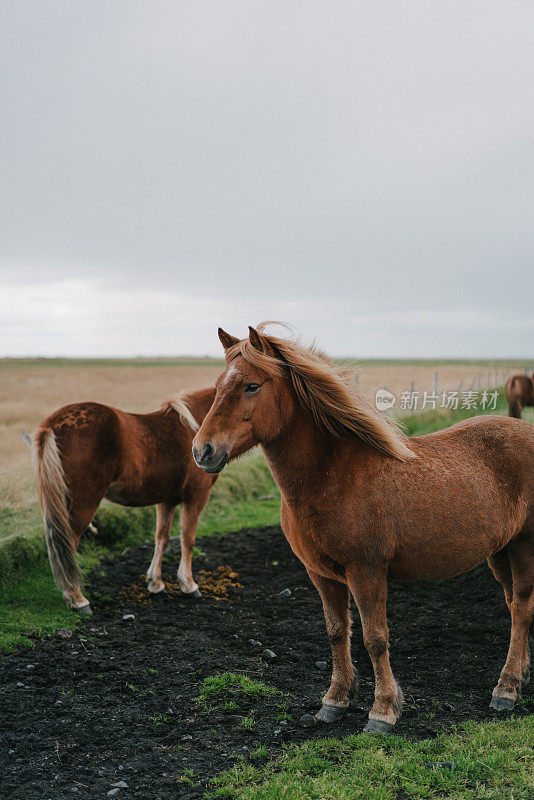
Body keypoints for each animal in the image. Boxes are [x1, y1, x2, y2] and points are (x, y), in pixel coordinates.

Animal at [33, 386, 218, 612]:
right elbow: (188, 539)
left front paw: (155, 583)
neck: (196, 425)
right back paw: (78, 599)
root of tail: (51, 425)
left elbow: (162, 539)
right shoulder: (195, 497)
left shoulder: (167, 501)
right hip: (81, 507)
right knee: (67, 546)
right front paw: (189, 585)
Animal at [193, 324, 534, 732]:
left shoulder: (366, 571)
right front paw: (334, 700)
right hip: (500, 552)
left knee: (522, 609)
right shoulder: (321, 574)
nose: (202, 451)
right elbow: (337, 632)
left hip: (525, 546)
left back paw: (506, 690)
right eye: (217, 385)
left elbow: (374, 637)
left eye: (251, 386)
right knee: (515, 606)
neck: (333, 475)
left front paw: (383, 710)